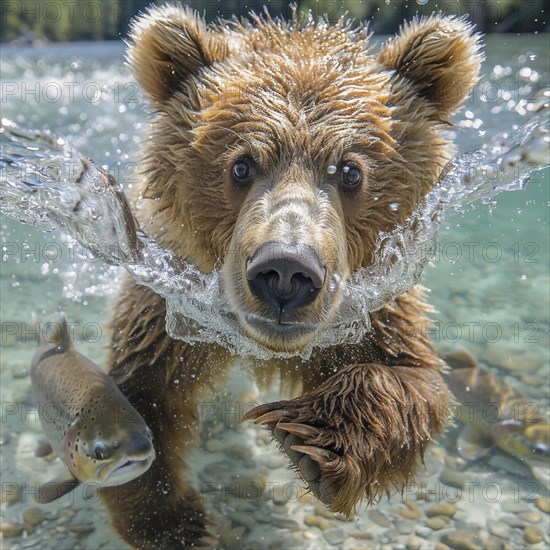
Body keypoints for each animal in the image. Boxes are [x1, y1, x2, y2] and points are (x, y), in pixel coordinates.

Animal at [102, 5, 484, 550]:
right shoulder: (167, 305)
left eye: (350, 171)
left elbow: (416, 381)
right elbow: (142, 390)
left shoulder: (375, 308)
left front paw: (311, 433)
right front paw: (175, 522)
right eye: (241, 165)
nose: (285, 271)